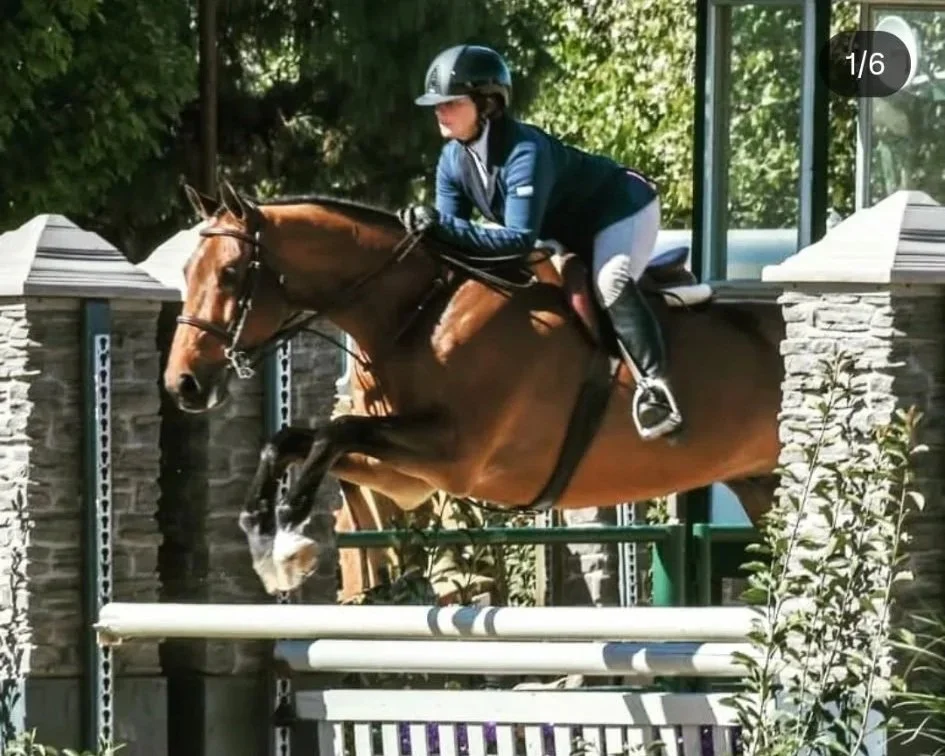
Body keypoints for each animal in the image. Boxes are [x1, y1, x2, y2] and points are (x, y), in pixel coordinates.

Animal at [162, 181, 785, 595]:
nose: (183, 383)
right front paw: (263, 538)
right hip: (762, 487)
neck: (420, 311)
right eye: (187, 272)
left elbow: (334, 431)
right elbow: (295, 439)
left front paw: (291, 541)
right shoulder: (407, 475)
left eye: (230, 275)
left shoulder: (454, 457)